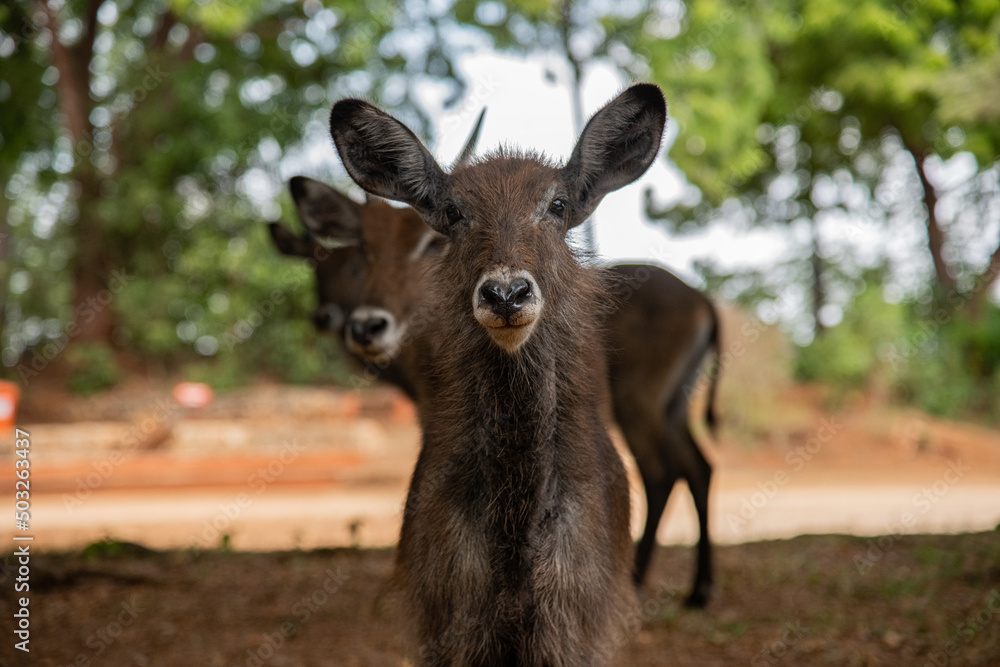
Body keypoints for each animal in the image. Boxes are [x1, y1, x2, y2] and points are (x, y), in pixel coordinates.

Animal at [332, 86, 668, 664]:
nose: (506, 293)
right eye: (452, 212)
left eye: (557, 205)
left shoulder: (574, 633)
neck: (515, 535)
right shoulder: (450, 630)